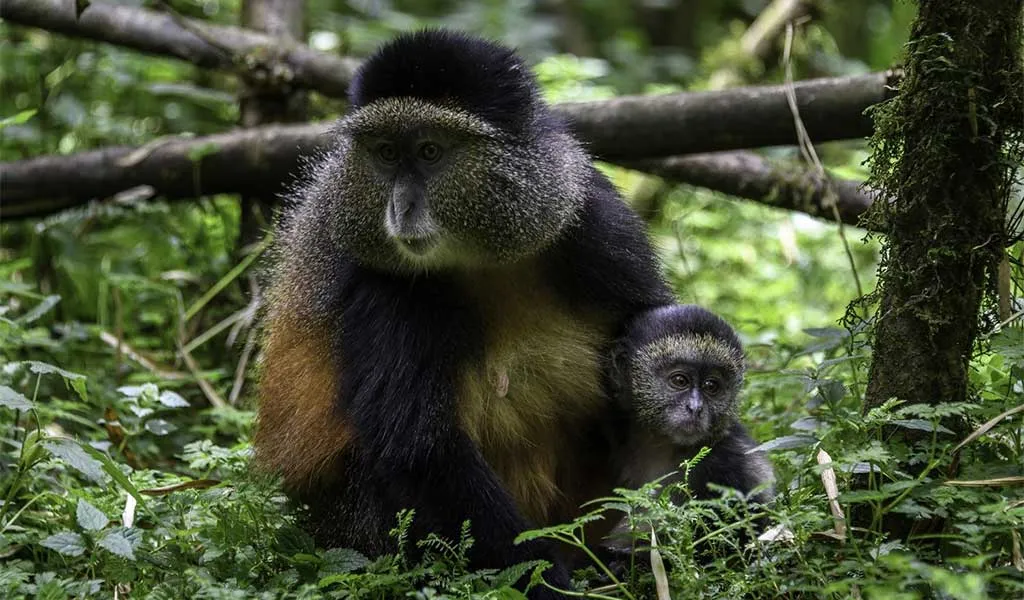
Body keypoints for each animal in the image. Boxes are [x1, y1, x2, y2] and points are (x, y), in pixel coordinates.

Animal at [253, 30, 674, 598]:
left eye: (430, 152)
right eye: (386, 154)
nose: (400, 209)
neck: (482, 257)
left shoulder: (595, 222)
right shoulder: (385, 289)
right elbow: (418, 448)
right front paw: (550, 580)